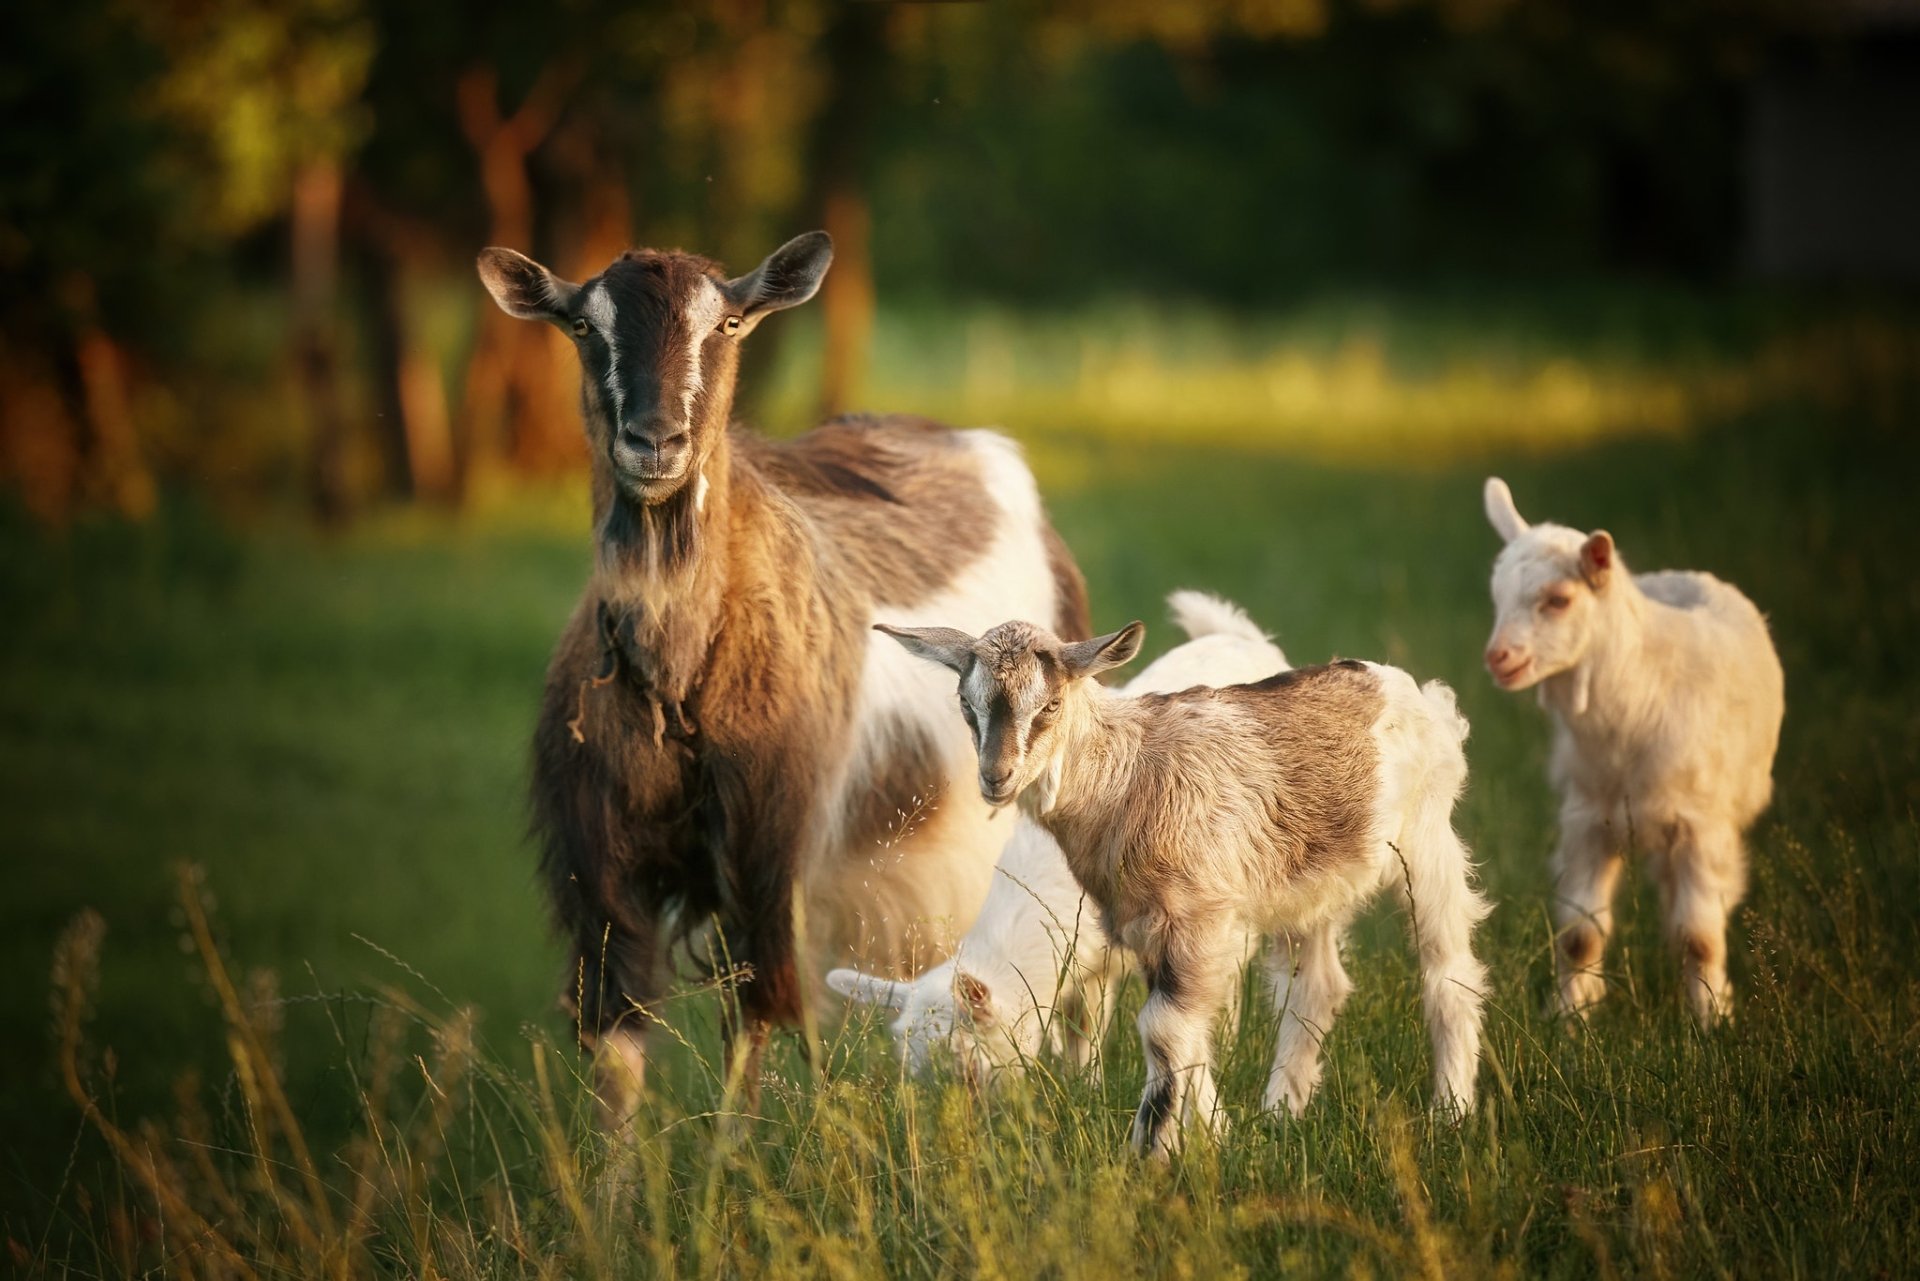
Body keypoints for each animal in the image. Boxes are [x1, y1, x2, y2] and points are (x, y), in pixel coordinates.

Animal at [476, 232, 1090, 1121]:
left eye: (729, 322)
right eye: (583, 327)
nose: (654, 442)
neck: (680, 679)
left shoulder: (769, 854)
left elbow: (754, 1024)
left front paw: (727, 1163)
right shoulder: (604, 871)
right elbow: (617, 1045)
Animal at [879, 615, 1488, 1157]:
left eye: (1050, 705)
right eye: (967, 704)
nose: (995, 778)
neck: (1125, 772)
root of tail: (1395, 683)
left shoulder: (1199, 919)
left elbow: (1164, 1031)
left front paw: (1150, 1155)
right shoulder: (1143, 925)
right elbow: (1180, 1032)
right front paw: (1217, 1136)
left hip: (1426, 838)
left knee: (1448, 973)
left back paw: (1451, 1112)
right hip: (1309, 887)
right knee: (1316, 988)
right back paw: (1281, 1112)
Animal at [1481, 477, 1784, 1026]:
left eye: (1559, 599)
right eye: (1497, 596)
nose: (1499, 658)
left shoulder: (1701, 825)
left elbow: (1700, 936)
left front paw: (1711, 1017)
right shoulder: (1586, 819)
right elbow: (1580, 935)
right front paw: (1571, 1016)